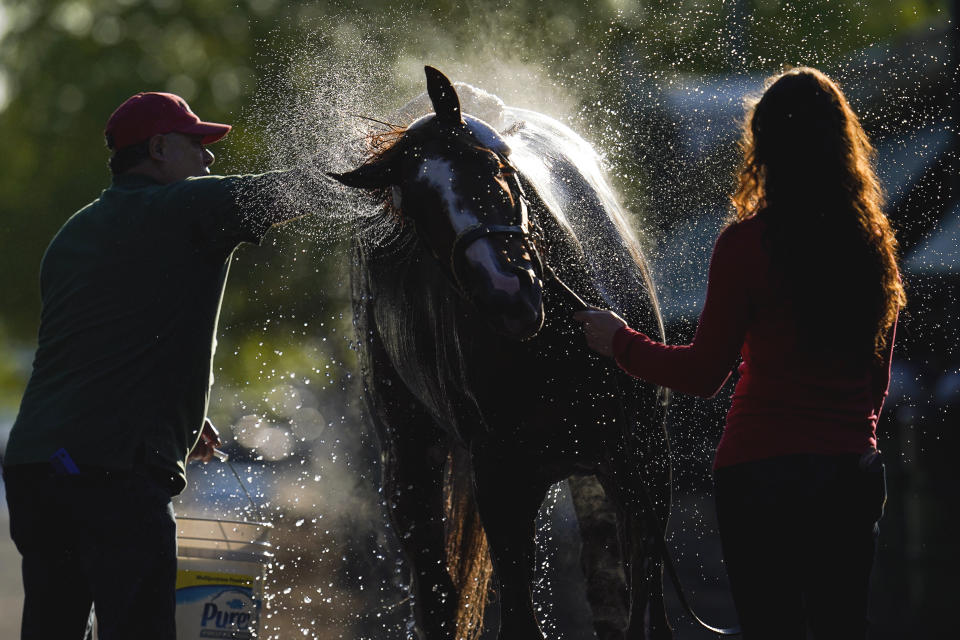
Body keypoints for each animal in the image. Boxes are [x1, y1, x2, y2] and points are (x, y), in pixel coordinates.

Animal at [328, 67, 668, 636]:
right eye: (418, 212)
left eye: (490, 169)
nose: (509, 294)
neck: (559, 349)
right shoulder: (502, 484)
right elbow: (518, 615)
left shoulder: (643, 467)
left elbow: (646, 606)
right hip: (408, 457)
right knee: (435, 592)